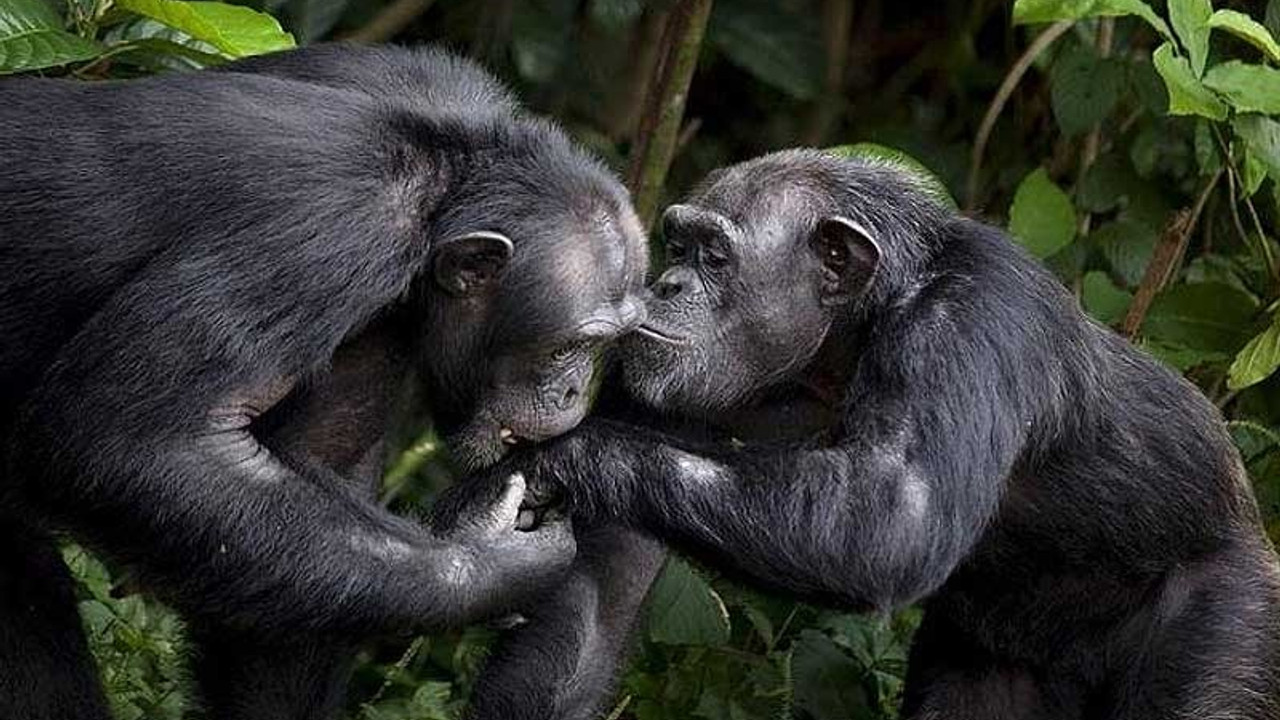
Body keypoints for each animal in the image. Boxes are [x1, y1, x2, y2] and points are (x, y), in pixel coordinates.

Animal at [0, 44, 650, 717]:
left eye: (604, 345)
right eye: (573, 344)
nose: (574, 391)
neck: (449, 179)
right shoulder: (332, 235)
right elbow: (130, 443)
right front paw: (492, 563)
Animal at [483, 149, 1280, 717]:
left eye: (713, 255)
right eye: (676, 246)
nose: (665, 286)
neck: (848, 339)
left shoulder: (980, 312)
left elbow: (894, 516)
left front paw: (569, 459)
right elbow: (600, 598)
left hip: (1236, 615)